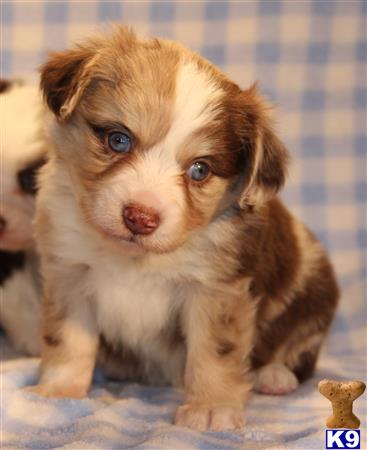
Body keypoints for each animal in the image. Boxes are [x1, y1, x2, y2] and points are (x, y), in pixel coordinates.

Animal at [28, 26, 340, 430]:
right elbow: (67, 338)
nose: (140, 217)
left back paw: (274, 376)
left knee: (299, 352)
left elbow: (215, 351)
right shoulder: (68, 271)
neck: (134, 259)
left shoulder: (217, 288)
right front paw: (59, 392)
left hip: (315, 294)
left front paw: (211, 407)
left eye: (200, 170)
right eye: (118, 140)